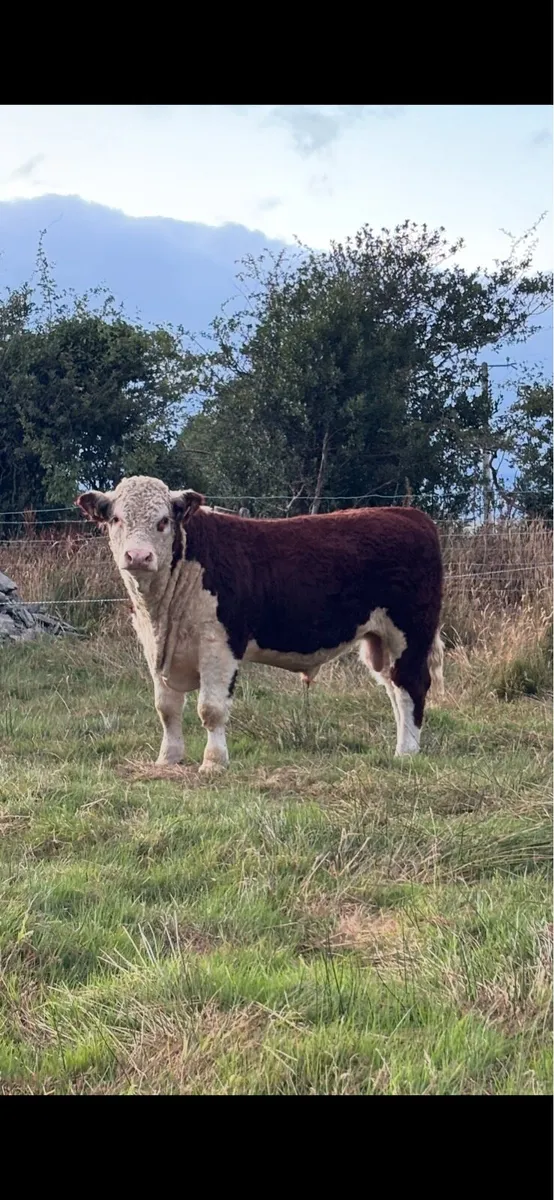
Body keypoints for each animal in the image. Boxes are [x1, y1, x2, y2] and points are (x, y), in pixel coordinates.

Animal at [77, 476, 444, 775]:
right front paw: (168, 759)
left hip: (410, 632)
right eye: (116, 519)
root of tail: (408, 515)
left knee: (412, 685)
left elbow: (210, 708)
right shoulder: (155, 647)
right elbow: (166, 708)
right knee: (395, 688)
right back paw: (400, 748)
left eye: (163, 521)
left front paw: (213, 763)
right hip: (379, 640)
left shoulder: (220, 643)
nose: (138, 556)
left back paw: (408, 752)